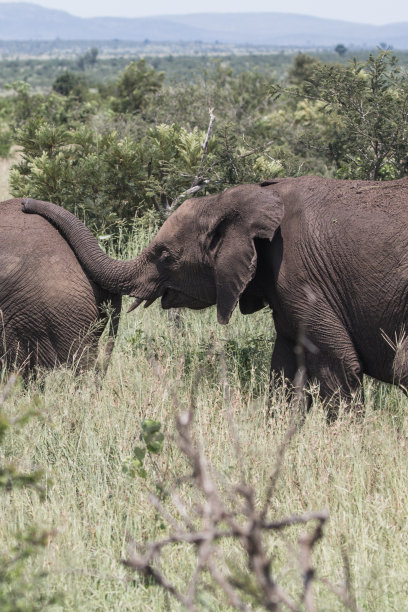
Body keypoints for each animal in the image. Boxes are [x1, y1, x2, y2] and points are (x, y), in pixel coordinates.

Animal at [21, 175, 408, 408]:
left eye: (166, 256)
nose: (25, 203)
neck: (239, 200)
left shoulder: (303, 278)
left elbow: (338, 368)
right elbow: (283, 371)